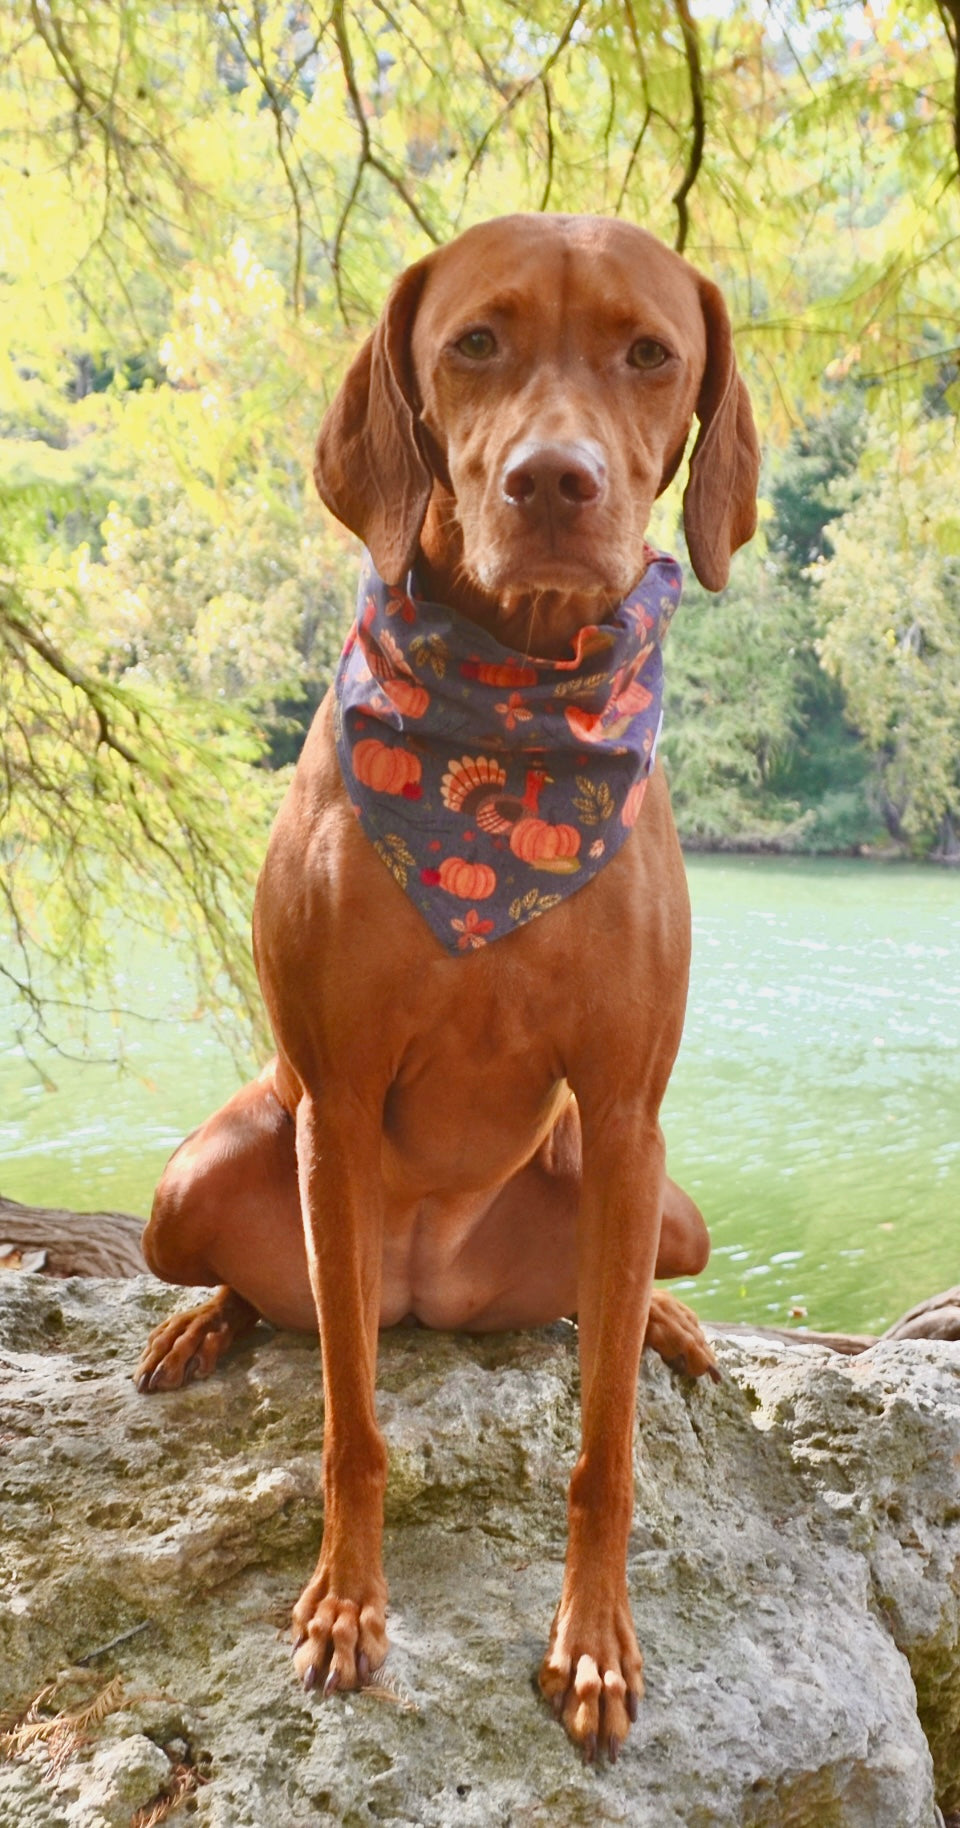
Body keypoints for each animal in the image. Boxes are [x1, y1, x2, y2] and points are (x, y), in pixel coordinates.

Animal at [136, 210, 757, 1754]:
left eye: (649, 354)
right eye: (474, 341)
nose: (553, 481)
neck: (509, 722)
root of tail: (433, 1292)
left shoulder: (628, 1108)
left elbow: (605, 1450)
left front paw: (592, 1641)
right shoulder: (339, 1102)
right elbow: (352, 1428)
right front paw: (347, 1608)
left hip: (652, 1197)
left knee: (615, 1292)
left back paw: (661, 1319)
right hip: (209, 1179)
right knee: (283, 1298)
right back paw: (206, 1321)